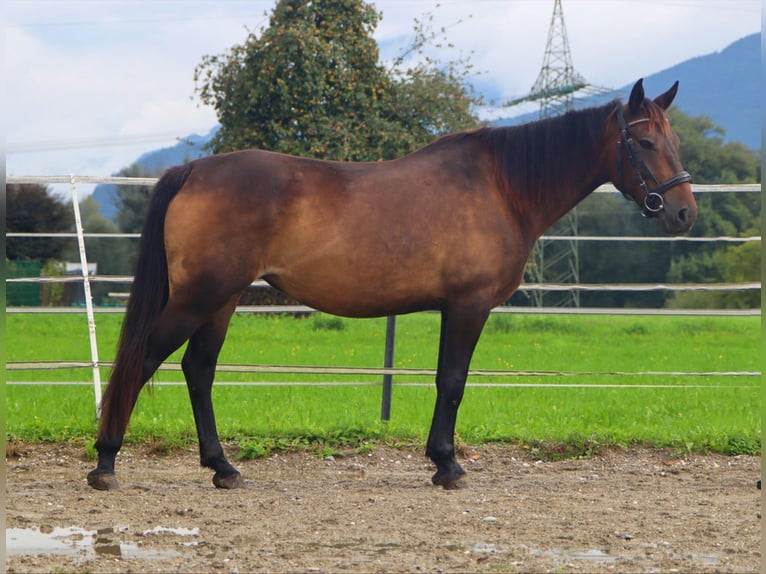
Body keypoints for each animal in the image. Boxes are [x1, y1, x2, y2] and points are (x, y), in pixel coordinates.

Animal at [87, 79, 696, 491]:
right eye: (644, 144)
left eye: (676, 142)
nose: (684, 214)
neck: (502, 187)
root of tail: (194, 170)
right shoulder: (468, 305)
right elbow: (452, 381)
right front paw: (447, 465)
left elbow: (447, 381)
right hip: (201, 297)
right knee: (144, 359)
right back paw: (105, 462)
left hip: (222, 299)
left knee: (198, 370)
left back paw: (223, 468)